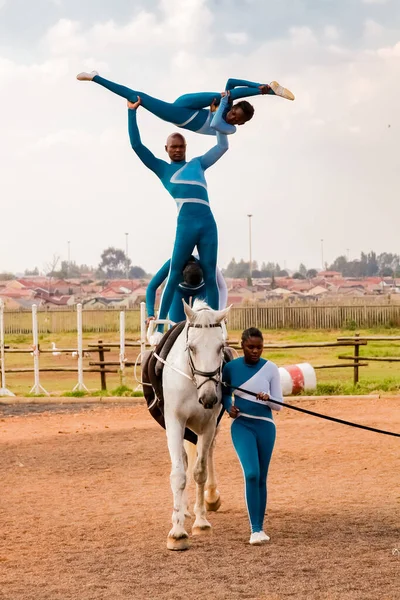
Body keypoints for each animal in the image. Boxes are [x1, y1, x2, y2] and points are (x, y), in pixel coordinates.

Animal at [161, 298, 230, 552]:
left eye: (221, 347)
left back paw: (210, 498)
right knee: (184, 459)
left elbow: (199, 471)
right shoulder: (175, 422)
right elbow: (179, 474)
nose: (209, 398)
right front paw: (177, 531)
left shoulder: (208, 425)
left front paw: (201, 522)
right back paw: (183, 509)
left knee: (207, 455)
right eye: (191, 348)